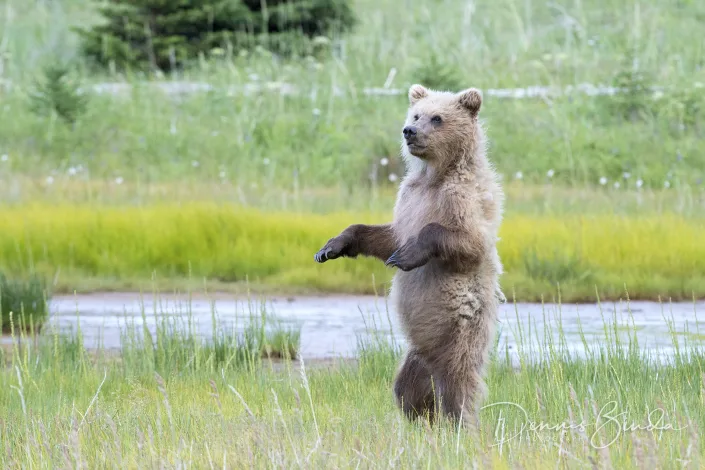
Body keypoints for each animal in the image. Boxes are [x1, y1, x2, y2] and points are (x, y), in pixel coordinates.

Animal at [314, 83, 505, 429]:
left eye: (437, 118)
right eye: (416, 115)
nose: (409, 131)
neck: (435, 174)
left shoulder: (464, 199)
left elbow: (467, 242)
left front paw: (405, 256)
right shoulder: (408, 198)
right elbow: (387, 236)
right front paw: (333, 246)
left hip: (459, 336)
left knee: (458, 387)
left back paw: (458, 425)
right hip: (417, 354)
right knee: (407, 390)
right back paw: (422, 421)